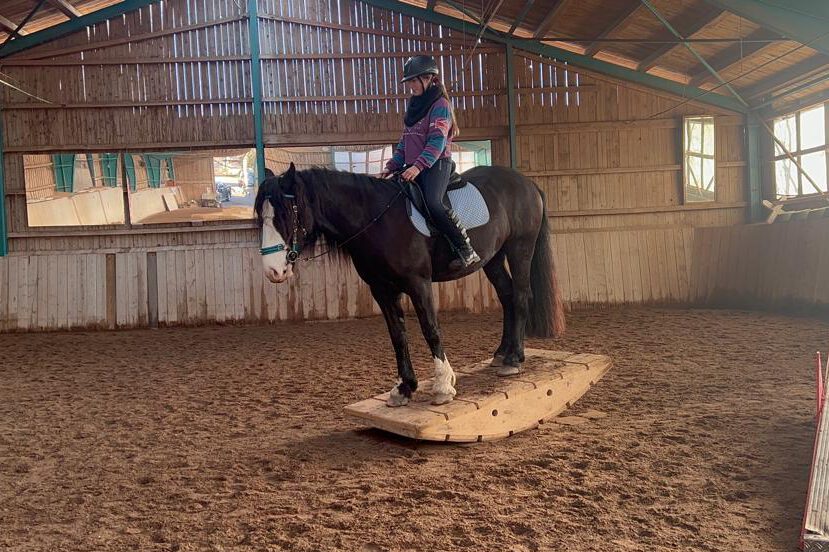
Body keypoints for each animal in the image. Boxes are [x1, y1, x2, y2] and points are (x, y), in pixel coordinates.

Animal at [252, 162, 564, 408]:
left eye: (285, 214)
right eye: (261, 217)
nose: (272, 271)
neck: (377, 220)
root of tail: (526, 183)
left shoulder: (418, 283)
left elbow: (430, 329)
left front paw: (443, 386)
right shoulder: (381, 290)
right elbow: (397, 335)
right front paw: (404, 387)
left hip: (520, 247)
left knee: (521, 296)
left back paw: (514, 359)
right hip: (494, 258)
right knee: (508, 296)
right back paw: (502, 353)